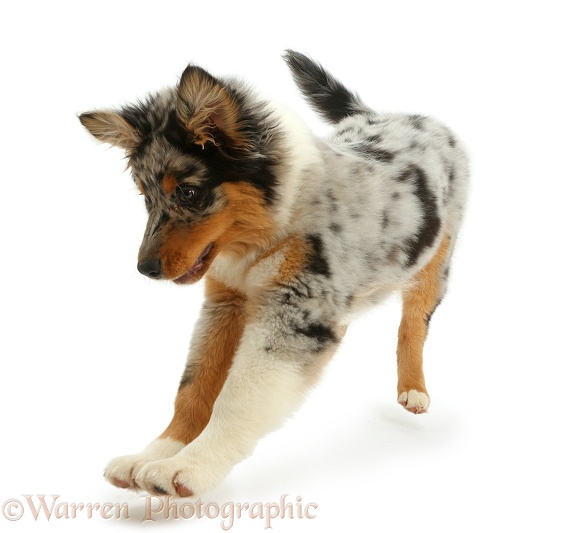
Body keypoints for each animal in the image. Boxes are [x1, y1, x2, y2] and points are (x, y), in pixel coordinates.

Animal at [80, 52, 468, 496]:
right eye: (146, 198)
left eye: (188, 192)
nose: (145, 269)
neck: (265, 233)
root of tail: (389, 114)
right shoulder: (227, 304)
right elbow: (193, 386)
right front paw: (155, 453)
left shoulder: (294, 313)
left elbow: (238, 396)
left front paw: (189, 467)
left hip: (439, 259)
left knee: (414, 323)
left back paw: (413, 390)